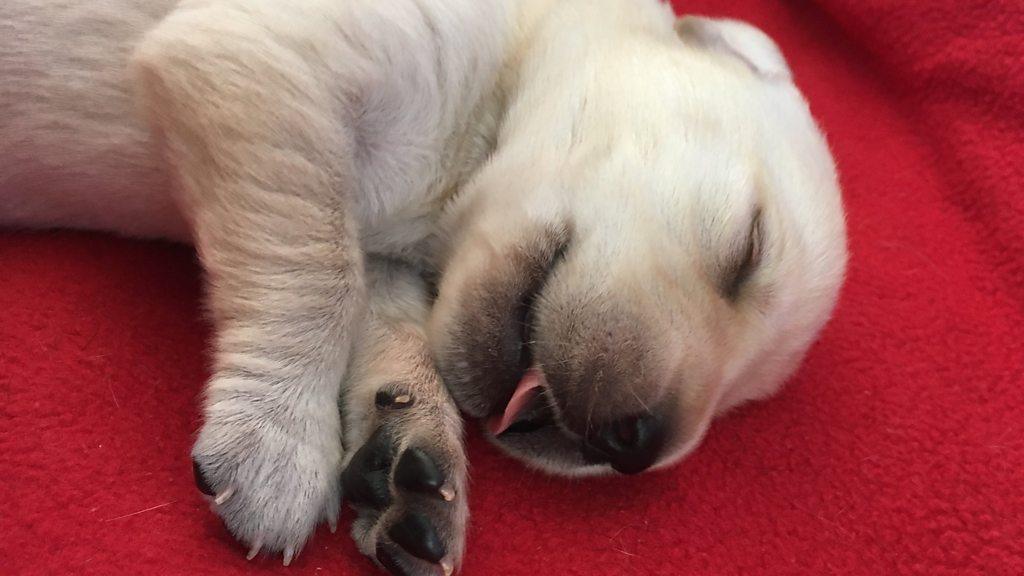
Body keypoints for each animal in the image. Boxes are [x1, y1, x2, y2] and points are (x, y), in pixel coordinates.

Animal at [0, 0, 847, 569]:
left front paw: (411, 451)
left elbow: (387, 309)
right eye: (747, 249)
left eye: (736, 405)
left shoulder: (387, 244)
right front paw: (277, 443)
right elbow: (320, 269)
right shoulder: (259, 57)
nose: (632, 446)